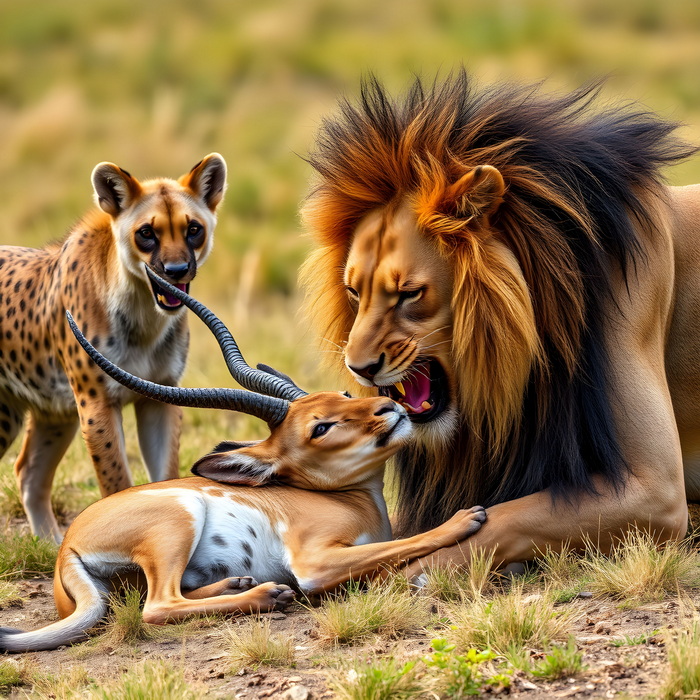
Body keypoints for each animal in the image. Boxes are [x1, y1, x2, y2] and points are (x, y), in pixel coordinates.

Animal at [300, 72, 700, 570]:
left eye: (410, 294)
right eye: (354, 292)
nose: (360, 369)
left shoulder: (658, 490)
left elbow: (504, 517)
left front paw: (410, 571)